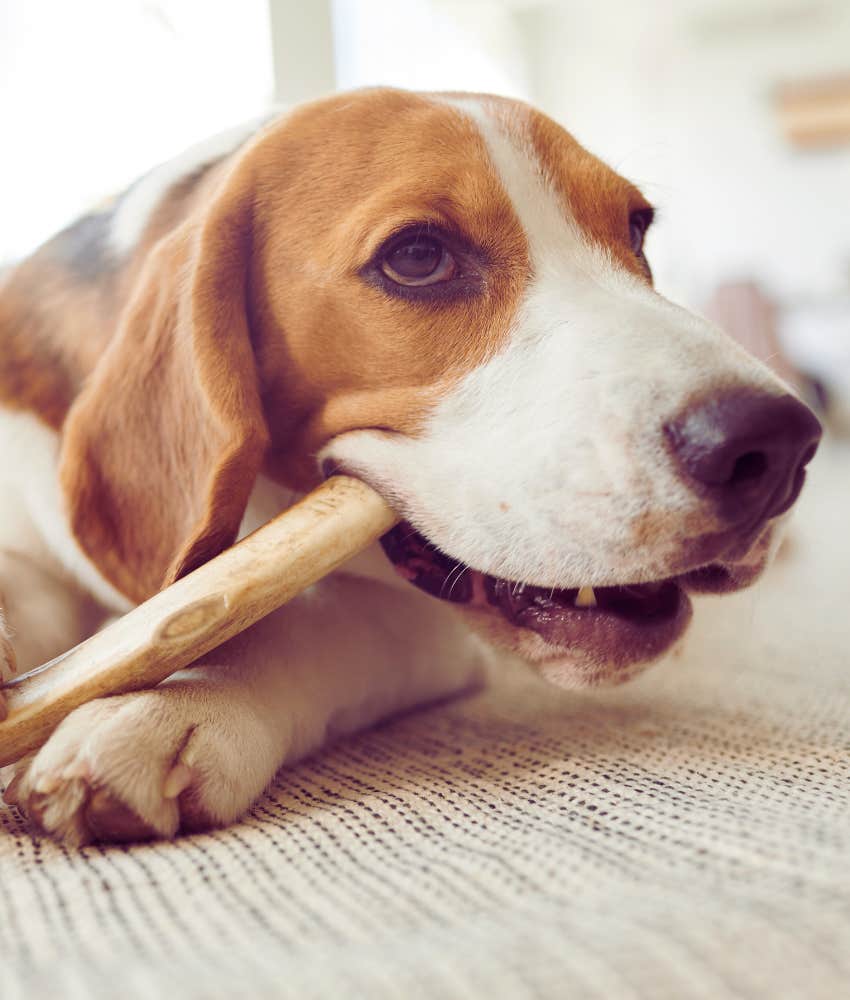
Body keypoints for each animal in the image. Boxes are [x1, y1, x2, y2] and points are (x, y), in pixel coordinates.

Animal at [1, 92, 820, 844]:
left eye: (637, 229)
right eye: (419, 257)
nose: (779, 445)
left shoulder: (419, 626)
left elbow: (309, 622)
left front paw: (165, 707)